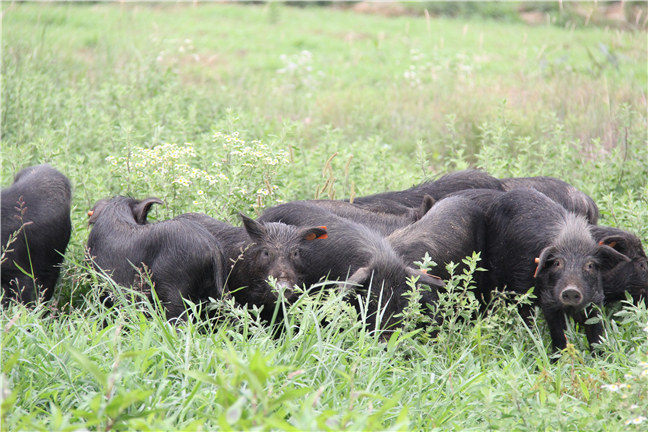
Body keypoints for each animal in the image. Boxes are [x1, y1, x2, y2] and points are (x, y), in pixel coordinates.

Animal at [486, 188, 628, 352]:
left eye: (590, 265)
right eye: (557, 263)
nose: (571, 290)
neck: (573, 240)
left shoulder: (596, 297)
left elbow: (595, 329)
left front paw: (599, 355)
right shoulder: (548, 298)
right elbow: (557, 331)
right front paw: (558, 356)